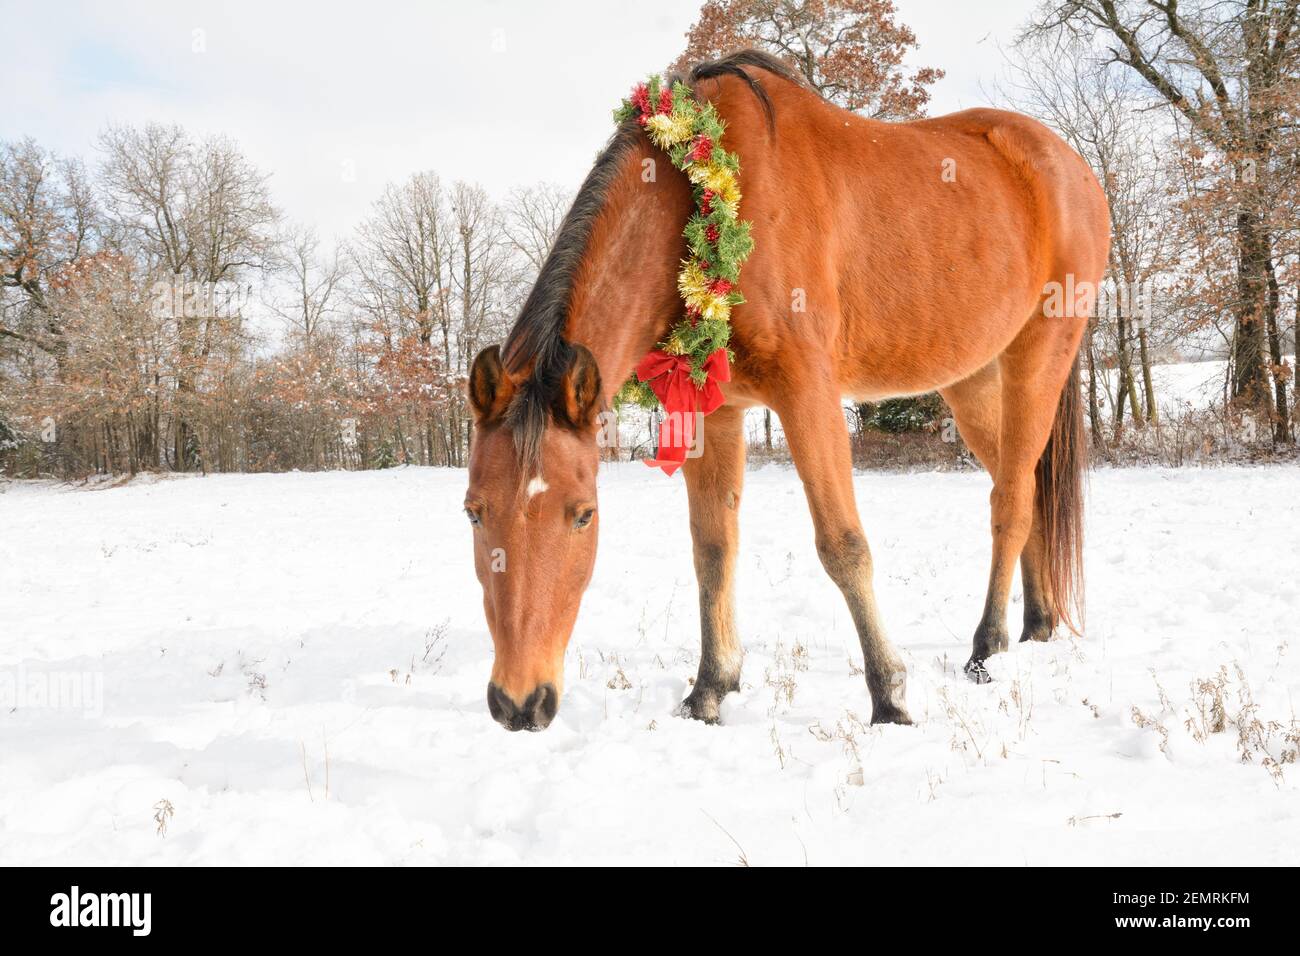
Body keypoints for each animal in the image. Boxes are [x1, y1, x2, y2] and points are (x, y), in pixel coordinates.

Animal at [464, 50, 1109, 732]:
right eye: (474, 512)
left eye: (584, 514)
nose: (519, 702)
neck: (702, 194)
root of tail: (1067, 166)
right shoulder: (714, 412)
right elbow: (713, 549)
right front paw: (710, 689)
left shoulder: (808, 394)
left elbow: (843, 545)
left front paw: (890, 697)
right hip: (972, 380)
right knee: (1028, 488)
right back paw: (1036, 626)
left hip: (1038, 358)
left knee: (1010, 502)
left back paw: (987, 648)